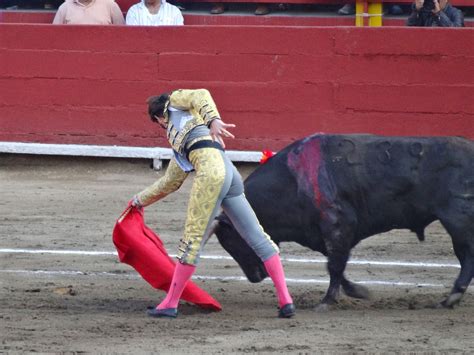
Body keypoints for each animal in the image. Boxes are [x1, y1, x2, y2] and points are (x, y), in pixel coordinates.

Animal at [215, 135, 474, 310]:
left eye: (234, 241)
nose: (254, 277)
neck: (293, 183)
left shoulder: (338, 225)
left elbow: (334, 265)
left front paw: (327, 302)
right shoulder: (323, 234)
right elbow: (335, 265)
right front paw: (358, 291)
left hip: (457, 221)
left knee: (468, 257)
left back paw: (451, 298)